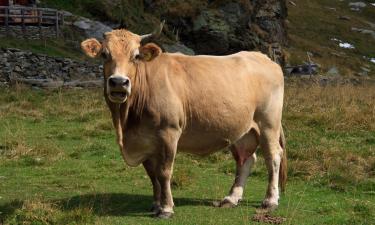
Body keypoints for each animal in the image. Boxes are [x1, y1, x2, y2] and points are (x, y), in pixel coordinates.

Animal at [81, 22, 288, 218]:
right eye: (104, 54)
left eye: (136, 56)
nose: (118, 82)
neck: (127, 123)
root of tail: (264, 58)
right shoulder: (146, 141)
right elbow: (152, 174)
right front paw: (156, 205)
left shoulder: (169, 132)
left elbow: (164, 172)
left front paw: (166, 208)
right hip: (240, 129)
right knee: (246, 159)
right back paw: (231, 198)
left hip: (268, 123)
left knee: (273, 156)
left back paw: (270, 200)